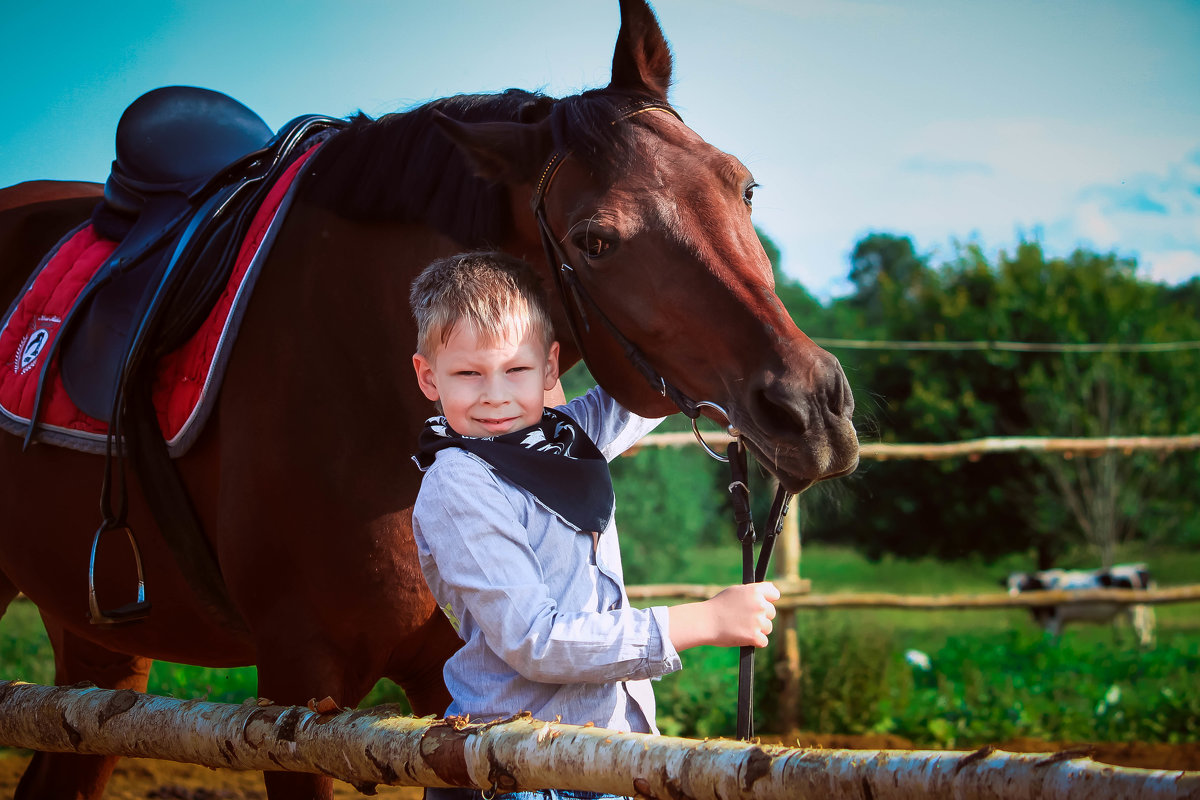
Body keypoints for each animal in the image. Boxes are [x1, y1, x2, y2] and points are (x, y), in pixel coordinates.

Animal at [2, 3, 864, 796]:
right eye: (596, 241)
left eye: (743, 185)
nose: (811, 408)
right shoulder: (293, 699)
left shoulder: (456, 705)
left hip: (101, 656)